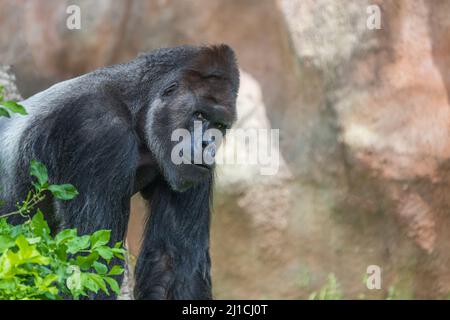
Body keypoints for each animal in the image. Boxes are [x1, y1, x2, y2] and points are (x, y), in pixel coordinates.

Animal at [0, 44, 239, 300]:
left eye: (220, 126)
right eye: (199, 115)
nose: (208, 144)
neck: (135, 107)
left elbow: (173, 263)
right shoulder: (99, 132)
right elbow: (88, 265)